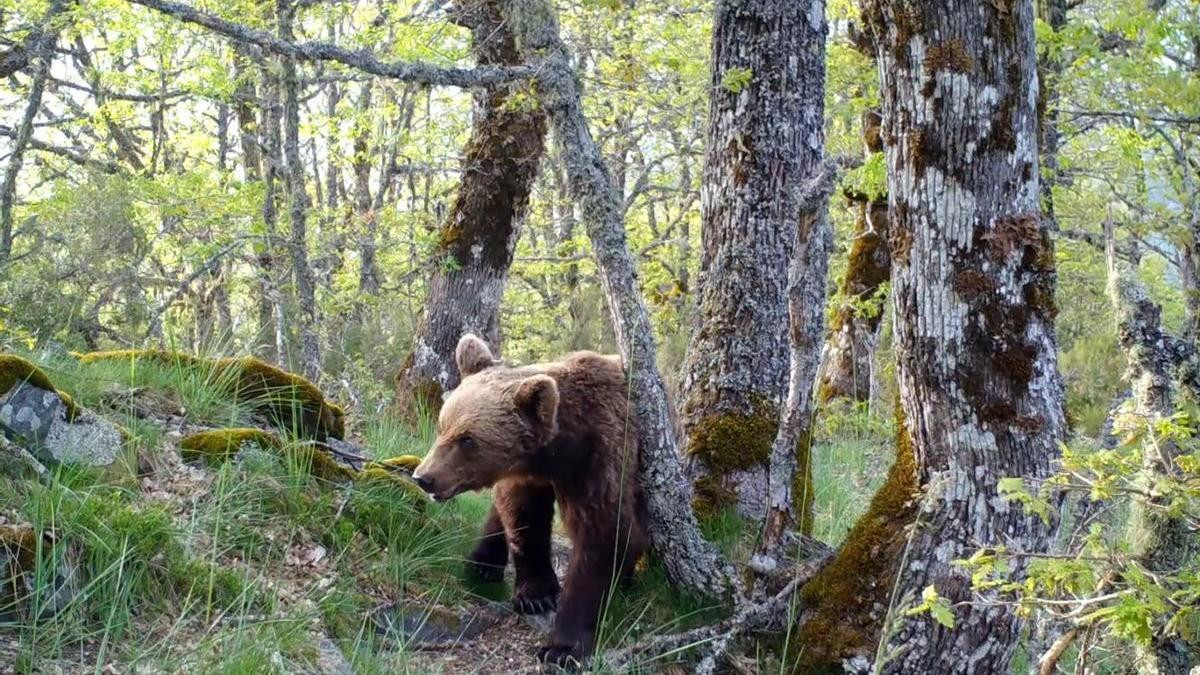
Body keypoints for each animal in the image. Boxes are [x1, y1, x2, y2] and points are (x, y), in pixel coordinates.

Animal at [410, 331, 648, 662]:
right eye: (442, 426)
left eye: (467, 439)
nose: (424, 477)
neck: (558, 453)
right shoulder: (525, 476)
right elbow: (524, 518)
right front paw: (536, 595)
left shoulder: (601, 459)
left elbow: (604, 534)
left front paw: (561, 647)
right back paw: (484, 562)